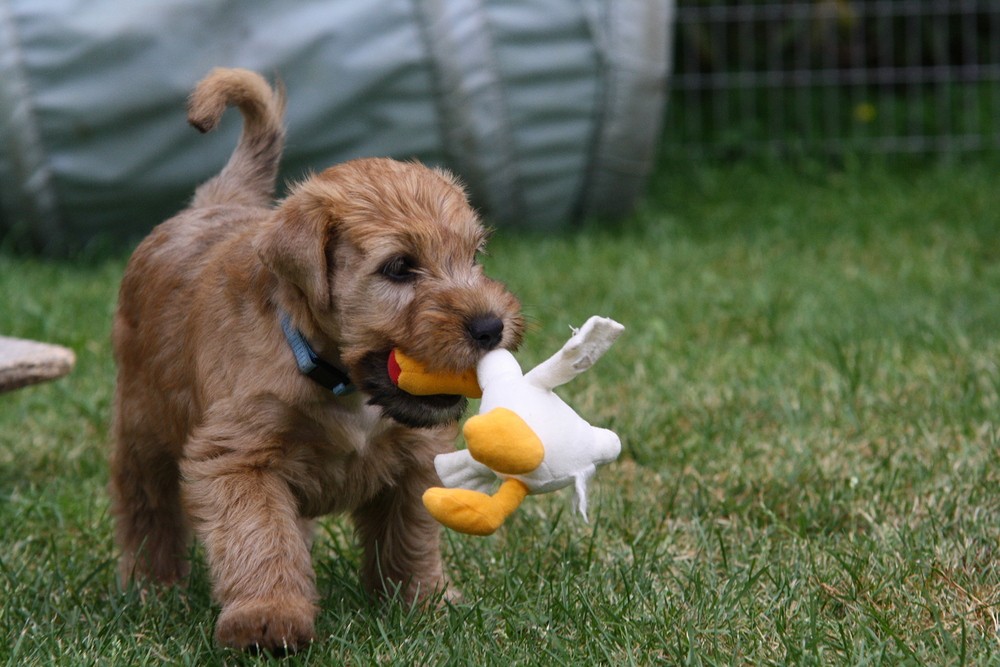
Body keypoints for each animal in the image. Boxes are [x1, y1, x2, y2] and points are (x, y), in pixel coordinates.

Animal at [111, 68, 524, 652]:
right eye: (400, 267)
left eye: (474, 256)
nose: (492, 326)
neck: (337, 378)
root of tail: (211, 202)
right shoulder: (239, 458)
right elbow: (259, 537)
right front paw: (268, 617)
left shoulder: (415, 457)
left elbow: (409, 537)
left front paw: (422, 603)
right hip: (142, 424)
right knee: (147, 508)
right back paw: (152, 586)